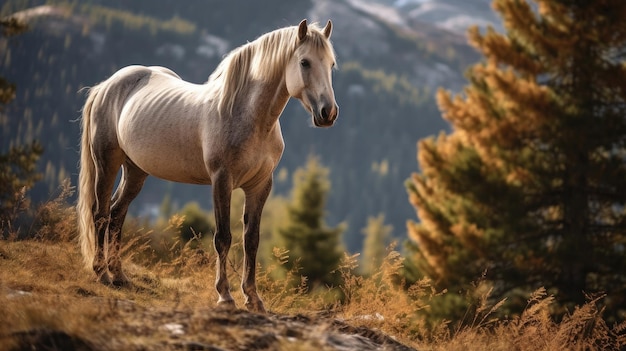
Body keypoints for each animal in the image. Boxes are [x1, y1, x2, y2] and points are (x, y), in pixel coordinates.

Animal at [77, 19, 336, 312]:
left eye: (331, 64)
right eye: (304, 62)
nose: (328, 113)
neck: (247, 116)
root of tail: (106, 85)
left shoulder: (260, 186)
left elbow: (251, 240)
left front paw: (253, 298)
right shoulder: (221, 180)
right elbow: (223, 237)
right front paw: (225, 296)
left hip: (135, 170)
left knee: (117, 213)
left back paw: (119, 275)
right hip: (106, 162)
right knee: (101, 214)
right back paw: (102, 273)